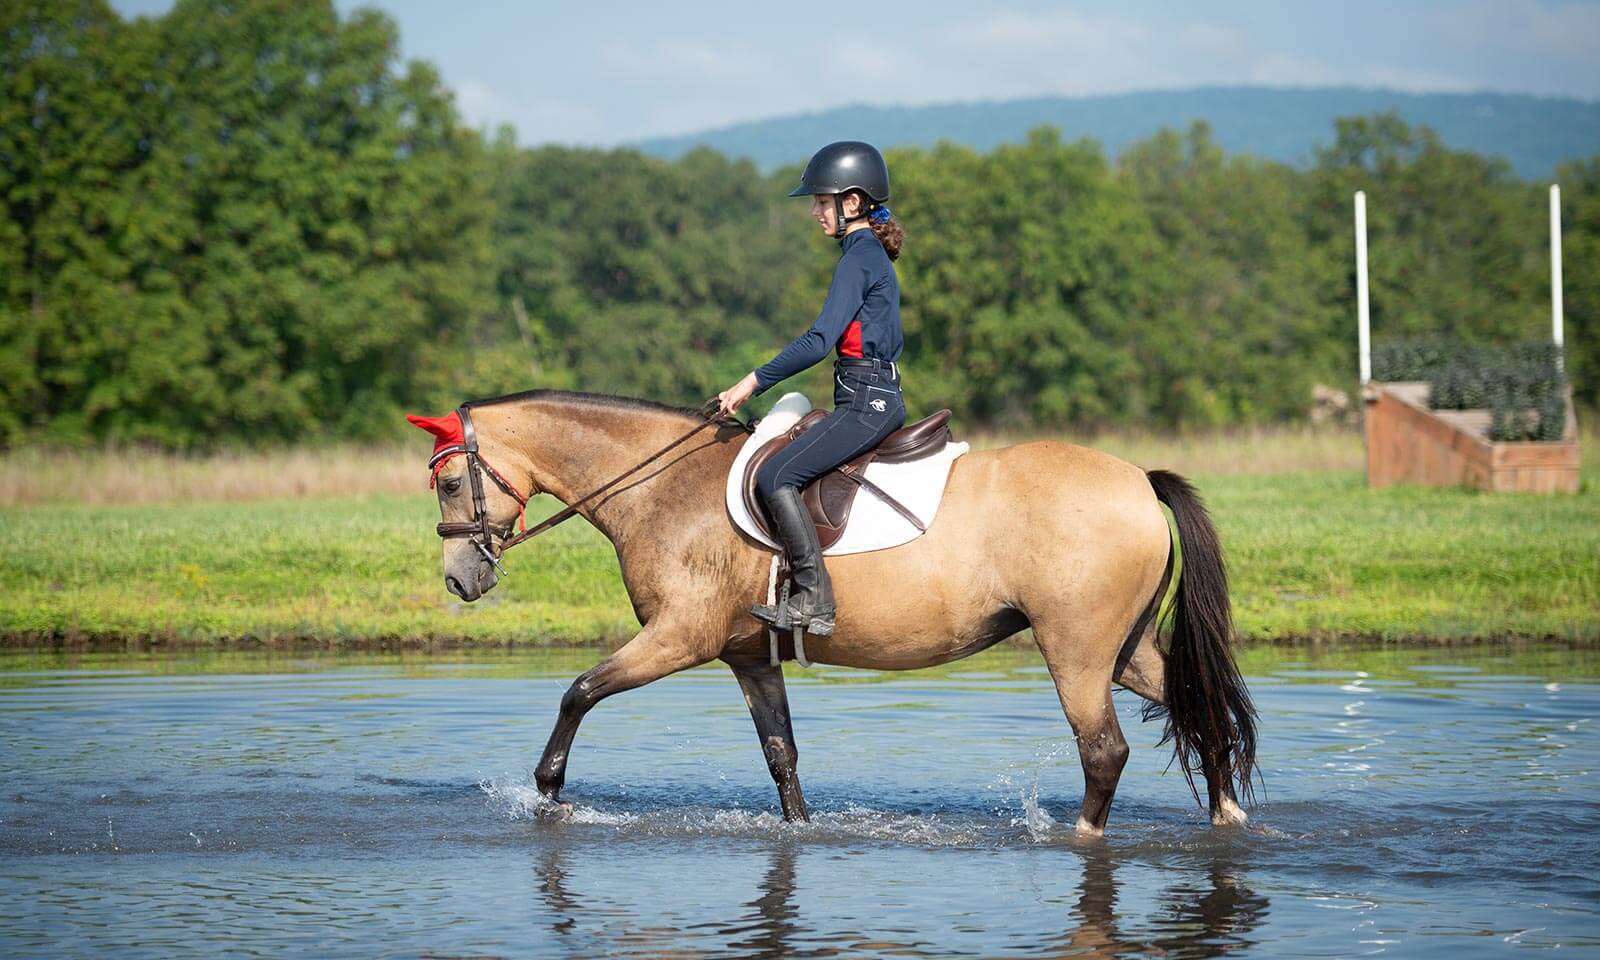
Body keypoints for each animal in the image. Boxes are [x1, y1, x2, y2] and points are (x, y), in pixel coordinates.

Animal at [406, 388, 1254, 832]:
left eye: (447, 484)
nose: (460, 580)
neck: (665, 488)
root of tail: (1138, 480)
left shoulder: (677, 638)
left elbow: (578, 692)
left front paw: (547, 792)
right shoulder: (747, 657)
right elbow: (780, 754)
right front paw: (802, 829)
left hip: (1074, 648)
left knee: (1104, 750)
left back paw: (1083, 837)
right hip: (1125, 648)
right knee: (1200, 709)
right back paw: (1228, 820)